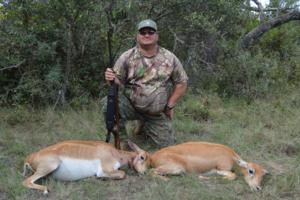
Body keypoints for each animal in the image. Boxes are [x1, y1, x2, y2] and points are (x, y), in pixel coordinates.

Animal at [127, 141, 268, 191]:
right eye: (251, 171)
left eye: (263, 175)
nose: (258, 188)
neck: (231, 156)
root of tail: (154, 157)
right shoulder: (221, 169)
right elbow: (232, 176)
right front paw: (204, 178)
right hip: (177, 169)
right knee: (152, 172)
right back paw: (166, 179)